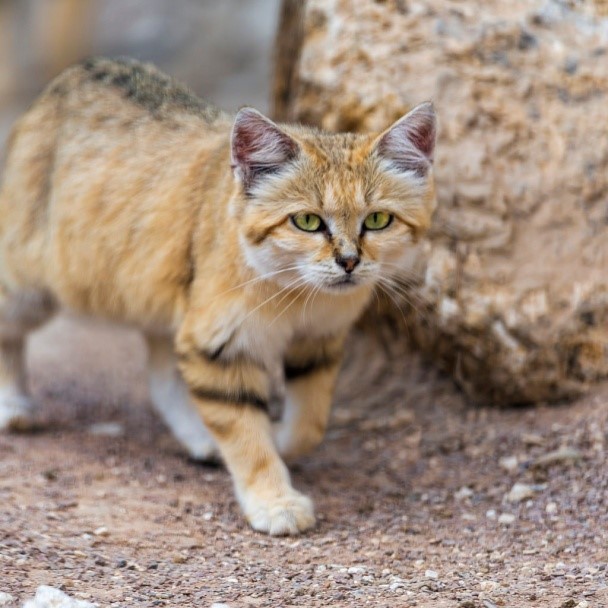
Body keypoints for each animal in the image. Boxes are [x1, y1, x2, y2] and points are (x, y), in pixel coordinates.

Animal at [0, 57, 436, 532]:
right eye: (306, 221)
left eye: (377, 220)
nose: (350, 262)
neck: (297, 294)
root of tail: (77, 72)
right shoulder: (220, 344)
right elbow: (246, 435)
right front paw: (274, 500)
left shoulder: (317, 340)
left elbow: (309, 424)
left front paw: (279, 441)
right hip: (28, 288)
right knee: (11, 331)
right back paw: (13, 406)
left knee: (162, 377)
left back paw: (200, 438)